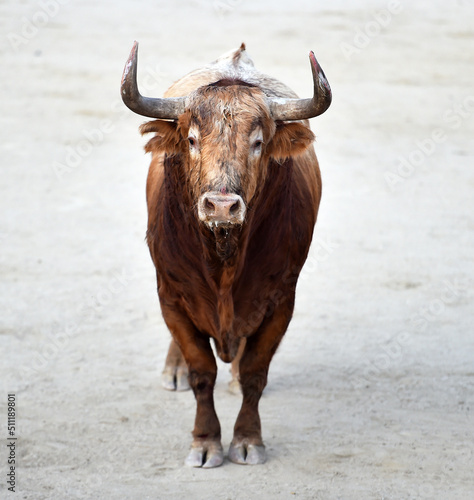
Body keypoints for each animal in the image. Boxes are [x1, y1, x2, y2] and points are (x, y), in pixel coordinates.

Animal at [120, 41, 332, 466]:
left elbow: (254, 372)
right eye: (191, 139)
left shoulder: (280, 302)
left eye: (258, 142)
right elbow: (202, 373)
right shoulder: (171, 296)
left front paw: (248, 440)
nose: (220, 206)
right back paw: (173, 372)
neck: (224, 259)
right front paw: (204, 442)